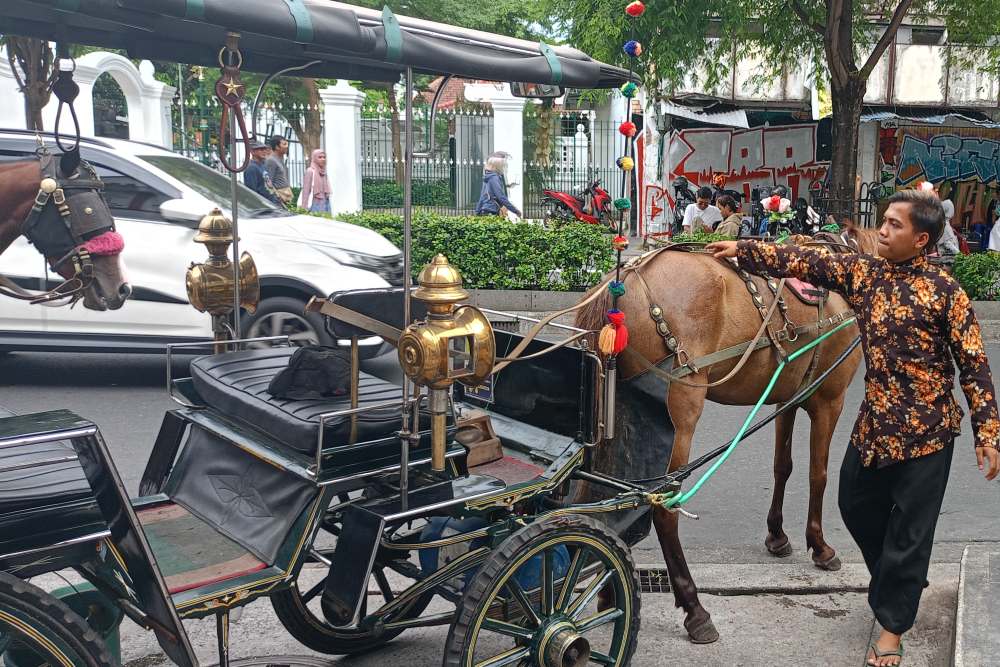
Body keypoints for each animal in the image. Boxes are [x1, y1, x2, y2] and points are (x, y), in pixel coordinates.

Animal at [580, 228, 876, 640]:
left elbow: (782, 467)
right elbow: (818, 474)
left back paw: (608, 592)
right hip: (679, 415)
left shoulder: (785, 398)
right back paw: (694, 608)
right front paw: (819, 546)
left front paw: (777, 535)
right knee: (662, 507)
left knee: (604, 492)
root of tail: (620, 287)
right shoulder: (829, 400)